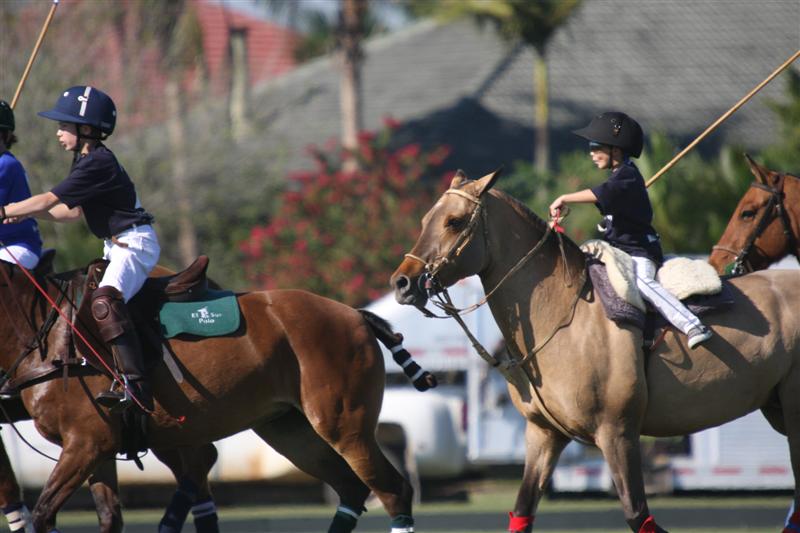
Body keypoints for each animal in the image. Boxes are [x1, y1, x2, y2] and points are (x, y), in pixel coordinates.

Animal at [2, 256, 420, 533]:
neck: (49, 338)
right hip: (290, 430)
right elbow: (106, 516)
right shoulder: (96, 448)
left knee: (394, 490)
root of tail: (355, 314)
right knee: (351, 488)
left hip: (344, 425)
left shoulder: (88, 443)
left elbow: (44, 513)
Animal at [390, 169, 800, 533]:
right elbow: (522, 512)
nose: (403, 282)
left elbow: (638, 515)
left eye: (455, 221)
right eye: (426, 219)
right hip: (777, 409)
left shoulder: (617, 432)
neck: (562, 316)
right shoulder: (544, 434)